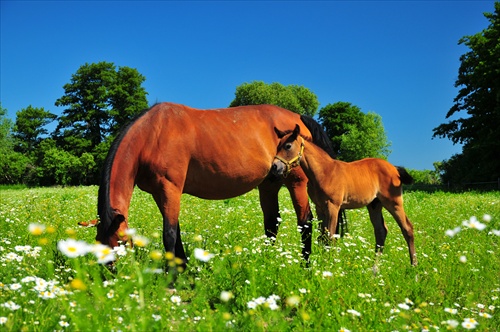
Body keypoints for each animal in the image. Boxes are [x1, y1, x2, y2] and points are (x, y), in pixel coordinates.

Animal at [94, 102, 340, 268]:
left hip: (296, 182)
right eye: (98, 243)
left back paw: (305, 265)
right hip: (269, 184)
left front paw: (173, 280)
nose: (111, 275)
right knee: (271, 224)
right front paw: (183, 268)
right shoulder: (160, 192)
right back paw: (266, 261)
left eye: (119, 243)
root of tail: (298, 117)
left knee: (305, 223)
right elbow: (176, 230)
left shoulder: (170, 188)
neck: (153, 133)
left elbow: (169, 234)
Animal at [272, 124, 416, 268]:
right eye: (278, 145)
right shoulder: (320, 208)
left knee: (407, 228)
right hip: (374, 205)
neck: (324, 172)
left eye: (288, 146)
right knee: (381, 231)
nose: (275, 167)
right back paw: (374, 268)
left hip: (394, 203)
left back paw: (413, 266)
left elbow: (330, 237)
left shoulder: (333, 207)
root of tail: (395, 169)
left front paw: (329, 264)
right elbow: (322, 236)